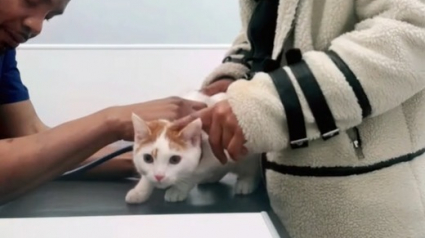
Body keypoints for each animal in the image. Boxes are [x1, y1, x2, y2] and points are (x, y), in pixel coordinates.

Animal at [124, 90, 260, 204]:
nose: (159, 176)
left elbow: (192, 175)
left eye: (175, 160)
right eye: (148, 158)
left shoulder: (212, 153)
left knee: (249, 168)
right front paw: (140, 191)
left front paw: (178, 190)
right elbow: (146, 175)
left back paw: (245, 183)